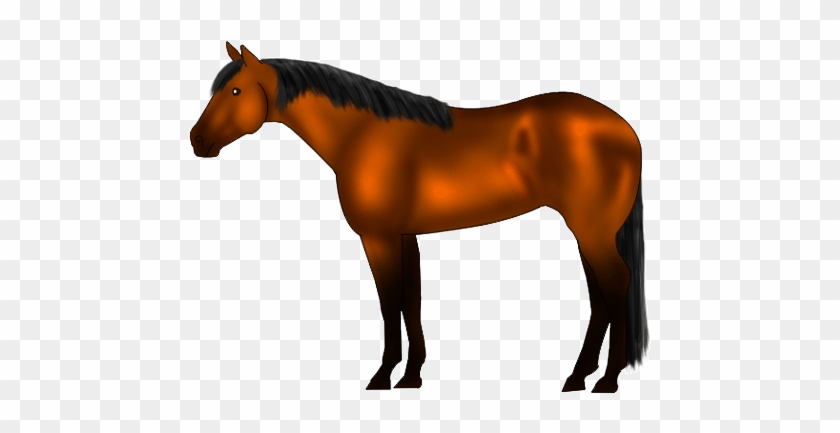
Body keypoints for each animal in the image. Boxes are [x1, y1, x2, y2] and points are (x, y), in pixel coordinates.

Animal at [190, 42, 649, 393]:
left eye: (234, 91)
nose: (197, 140)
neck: (361, 135)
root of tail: (624, 129)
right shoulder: (404, 236)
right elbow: (412, 300)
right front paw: (411, 375)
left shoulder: (378, 237)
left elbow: (390, 300)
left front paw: (382, 375)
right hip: (589, 233)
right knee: (600, 295)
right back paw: (578, 376)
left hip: (592, 232)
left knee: (615, 284)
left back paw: (607, 379)